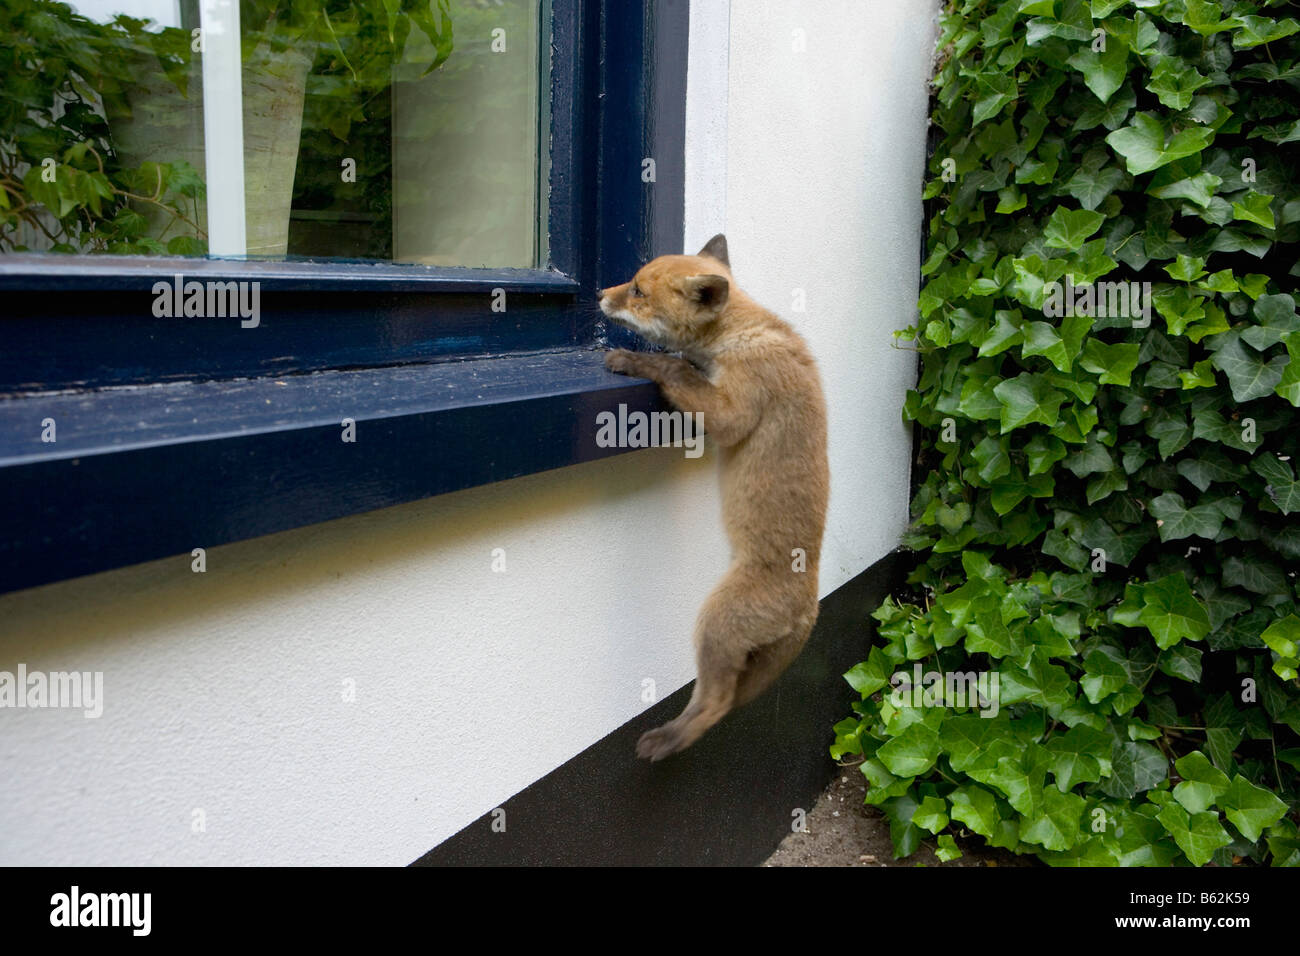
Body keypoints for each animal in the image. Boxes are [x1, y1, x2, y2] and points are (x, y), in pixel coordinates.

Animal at [601, 234, 830, 760]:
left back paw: (667, 740)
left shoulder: (734, 410)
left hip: (714, 625)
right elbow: (686, 368)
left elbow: (677, 370)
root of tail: (811, 607)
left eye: (637, 290)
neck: (742, 332)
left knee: (716, 703)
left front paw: (634, 361)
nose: (600, 294)